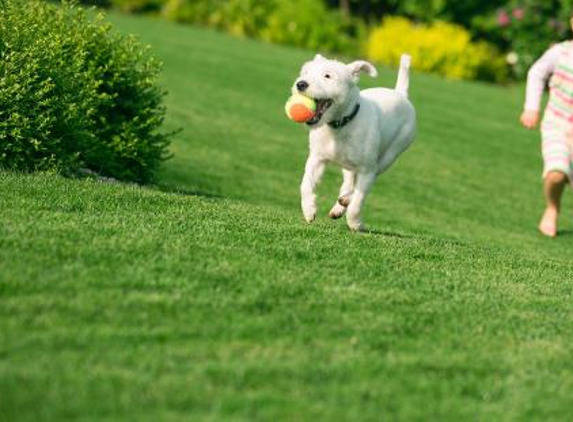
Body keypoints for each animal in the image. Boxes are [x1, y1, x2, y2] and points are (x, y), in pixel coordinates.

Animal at [292, 54, 418, 232]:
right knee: (349, 182)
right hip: (349, 165)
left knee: (369, 178)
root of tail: (401, 94)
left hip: (390, 155)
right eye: (305, 72)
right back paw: (339, 207)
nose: (301, 84)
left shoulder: (367, 170)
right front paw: (309, 209)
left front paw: (355, 224)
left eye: (327, 76)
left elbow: (358, 202)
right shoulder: (317, 159)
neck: (340, 125)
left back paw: (346, 201)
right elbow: (306, 184)